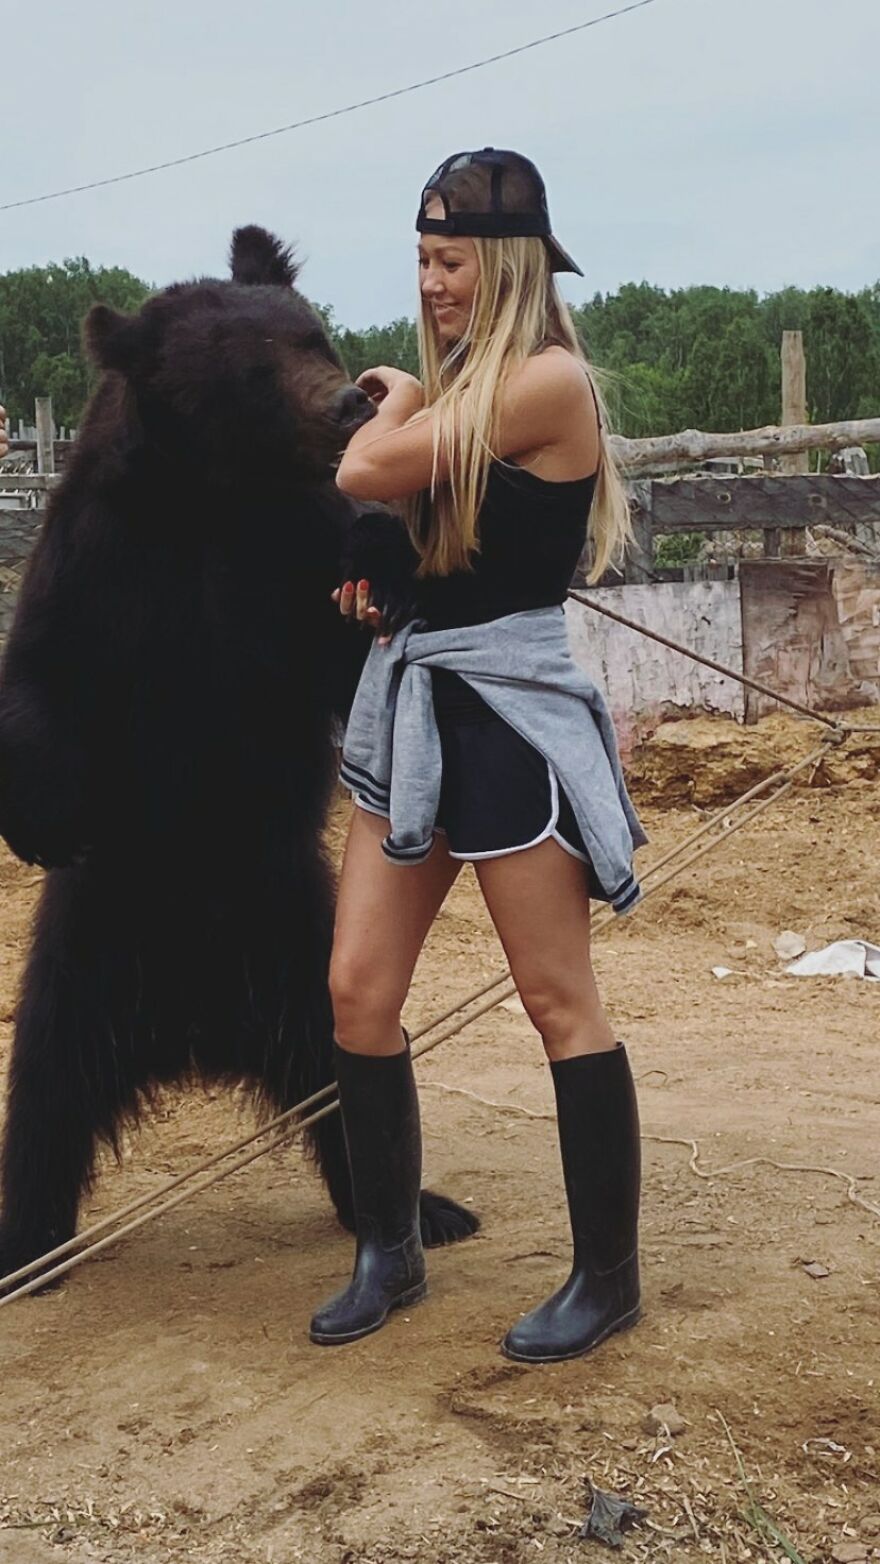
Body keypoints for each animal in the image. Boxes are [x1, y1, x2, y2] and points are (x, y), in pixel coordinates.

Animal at [0, 224, 477, 1289]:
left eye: (312, 335)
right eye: (251, 370)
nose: (350, 401)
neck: (211, 499)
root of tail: (195, 1029)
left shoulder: (289, 557)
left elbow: (356, 641)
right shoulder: (102, 559)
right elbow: (44, 670)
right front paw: (43, 818)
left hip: (304, 947)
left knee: (356, 1079)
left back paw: (420, 1207)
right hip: (79, 960)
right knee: (43, 1102)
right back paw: (24, 1241)